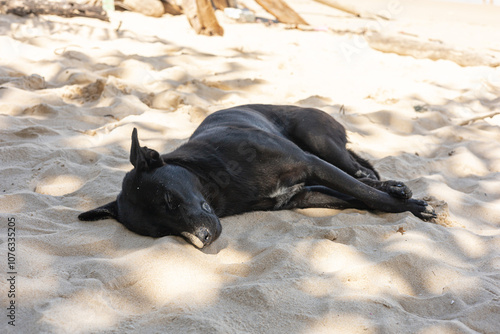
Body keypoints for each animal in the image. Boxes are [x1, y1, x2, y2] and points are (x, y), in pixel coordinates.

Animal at [80, 104, 436, 248]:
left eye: (169, 199)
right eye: (160, 232)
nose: (202, 239)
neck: (214, 179)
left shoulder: (311, 165)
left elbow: (368, 195)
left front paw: (413, 207)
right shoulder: (302, 195)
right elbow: (360, 199)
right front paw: (405, 204)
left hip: (317, 138)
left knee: (359, 171)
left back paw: (395, 186)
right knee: (362, 174)